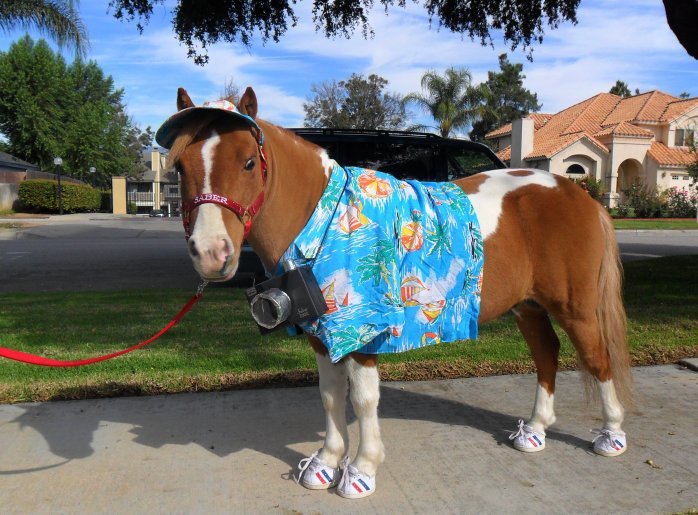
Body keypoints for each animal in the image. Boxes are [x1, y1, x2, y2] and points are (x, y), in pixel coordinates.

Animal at [156, 86, 633, 499]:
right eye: (179, 167)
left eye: (249, 163)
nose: (212, 253)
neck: (326, 219)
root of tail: (578, 194)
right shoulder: (322, 332)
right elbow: (330, 393)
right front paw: (326, 463)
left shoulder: (365, 328)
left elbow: (364, 399)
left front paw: (361, 470)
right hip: (528, 306)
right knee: (546, 353)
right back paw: (534, 430)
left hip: (576, 308)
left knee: (596, 358)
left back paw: (611, 436)